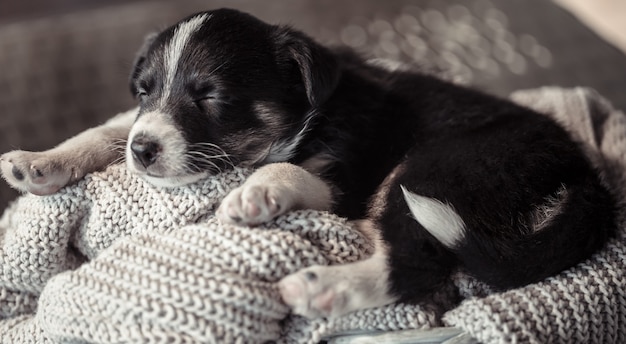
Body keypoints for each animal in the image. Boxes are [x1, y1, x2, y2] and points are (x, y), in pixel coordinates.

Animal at [0, 8, 616, 320]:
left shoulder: (350, 172)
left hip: (431, 169)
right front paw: (38, 163)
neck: (316, 112)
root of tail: (583, 172)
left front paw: (252, 194)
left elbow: (293, 171)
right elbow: (106, 130)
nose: (145, 151)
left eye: (211, 96)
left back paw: (322, 289)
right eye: (144, 89)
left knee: (416, 264)